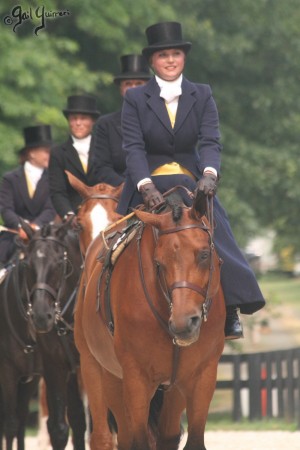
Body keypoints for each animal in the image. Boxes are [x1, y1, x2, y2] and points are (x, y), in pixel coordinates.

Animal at [74, 191, 225, 450]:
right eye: (158, 263)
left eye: (204, 254)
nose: (184, 323)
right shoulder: (136, 377)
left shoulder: (202, 375)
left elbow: (193, 440)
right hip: (95, 368)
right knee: (105, 437)